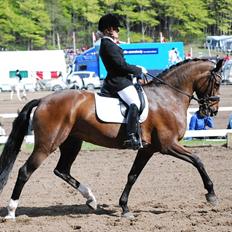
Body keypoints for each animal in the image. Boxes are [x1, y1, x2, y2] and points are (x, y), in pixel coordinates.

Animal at [0, 58, 223, 219]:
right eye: (219, 82)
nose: (212, 111)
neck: (167, 97)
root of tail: (43, 99)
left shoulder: (147, 149)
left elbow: (132, 176)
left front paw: (124, 208)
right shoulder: (168, 145)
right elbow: (198, 160)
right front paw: (211, 194)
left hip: (72, 143)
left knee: (62, 170)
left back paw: (91, 199)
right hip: (47, 144)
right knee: (25, 171)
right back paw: (11, 211)